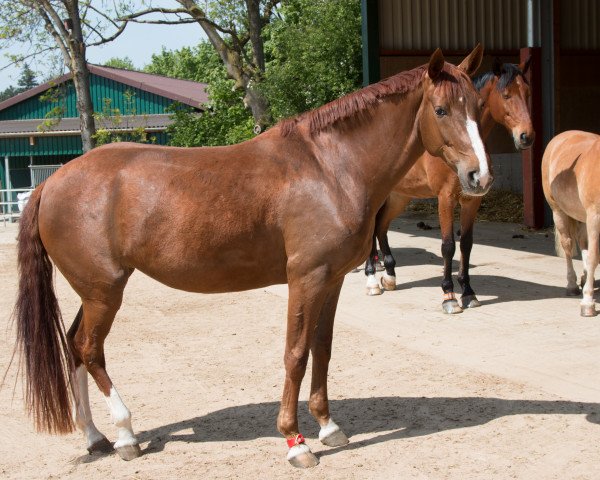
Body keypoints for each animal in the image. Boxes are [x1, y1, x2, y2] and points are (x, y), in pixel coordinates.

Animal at [11, 46, 490, 468]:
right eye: (441, 110)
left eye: (477, 108)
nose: (478, 177)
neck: (330, 168)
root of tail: (52, 182)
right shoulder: (306, 279)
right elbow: (296, 354)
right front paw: (296, 441)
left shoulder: (332, 279)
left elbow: (323, 349)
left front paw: (328, 425)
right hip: (104, 291)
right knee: (90, 349)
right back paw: (126, 435)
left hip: (93, 293)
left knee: (73, 345)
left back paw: (95, 437)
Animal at [364, 56, 532, 316]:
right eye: (506, 95)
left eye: (527, 93)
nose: (526, 136)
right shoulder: (445, 198)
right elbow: (448, 246)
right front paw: (449, 295)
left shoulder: (472, 200)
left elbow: (466, 244)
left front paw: (469, 292)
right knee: (373, 229)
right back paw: (372, 279)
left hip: (399, 196)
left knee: (381, 227)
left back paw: (390, 276)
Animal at [540, 129, 600, 316]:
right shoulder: (595, 216)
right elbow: (595, 255)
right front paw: (587, 302)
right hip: (558, 212)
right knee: (568, 245)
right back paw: (572, 285)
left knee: (583, 242)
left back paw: (586, 277)